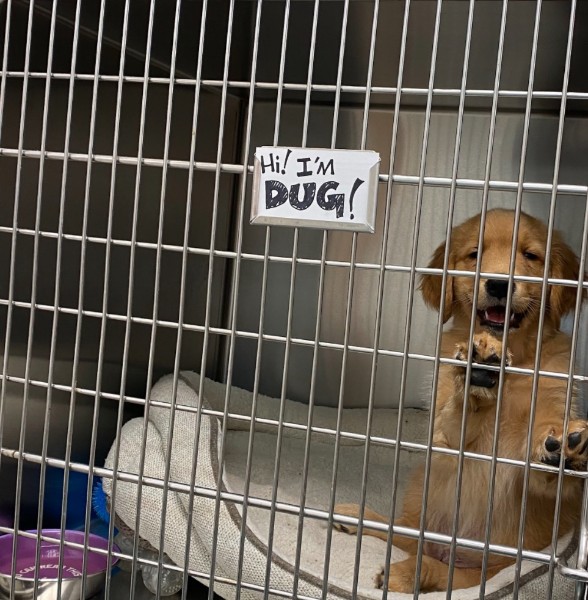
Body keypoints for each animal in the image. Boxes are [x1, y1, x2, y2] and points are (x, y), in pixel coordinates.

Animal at [335, 209, 587, 592]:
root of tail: (450, 550)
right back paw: (360, 520)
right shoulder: (444, 435)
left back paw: (409, 572)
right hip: (424, 491)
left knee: (449, 573)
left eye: (531, 255)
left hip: (490, 569)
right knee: (403, 532)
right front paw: (476, 378)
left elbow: (544, 458)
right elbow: (455, 422)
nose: (499, 284)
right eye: (474, 254)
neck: (514, 361)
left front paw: (564, 448)